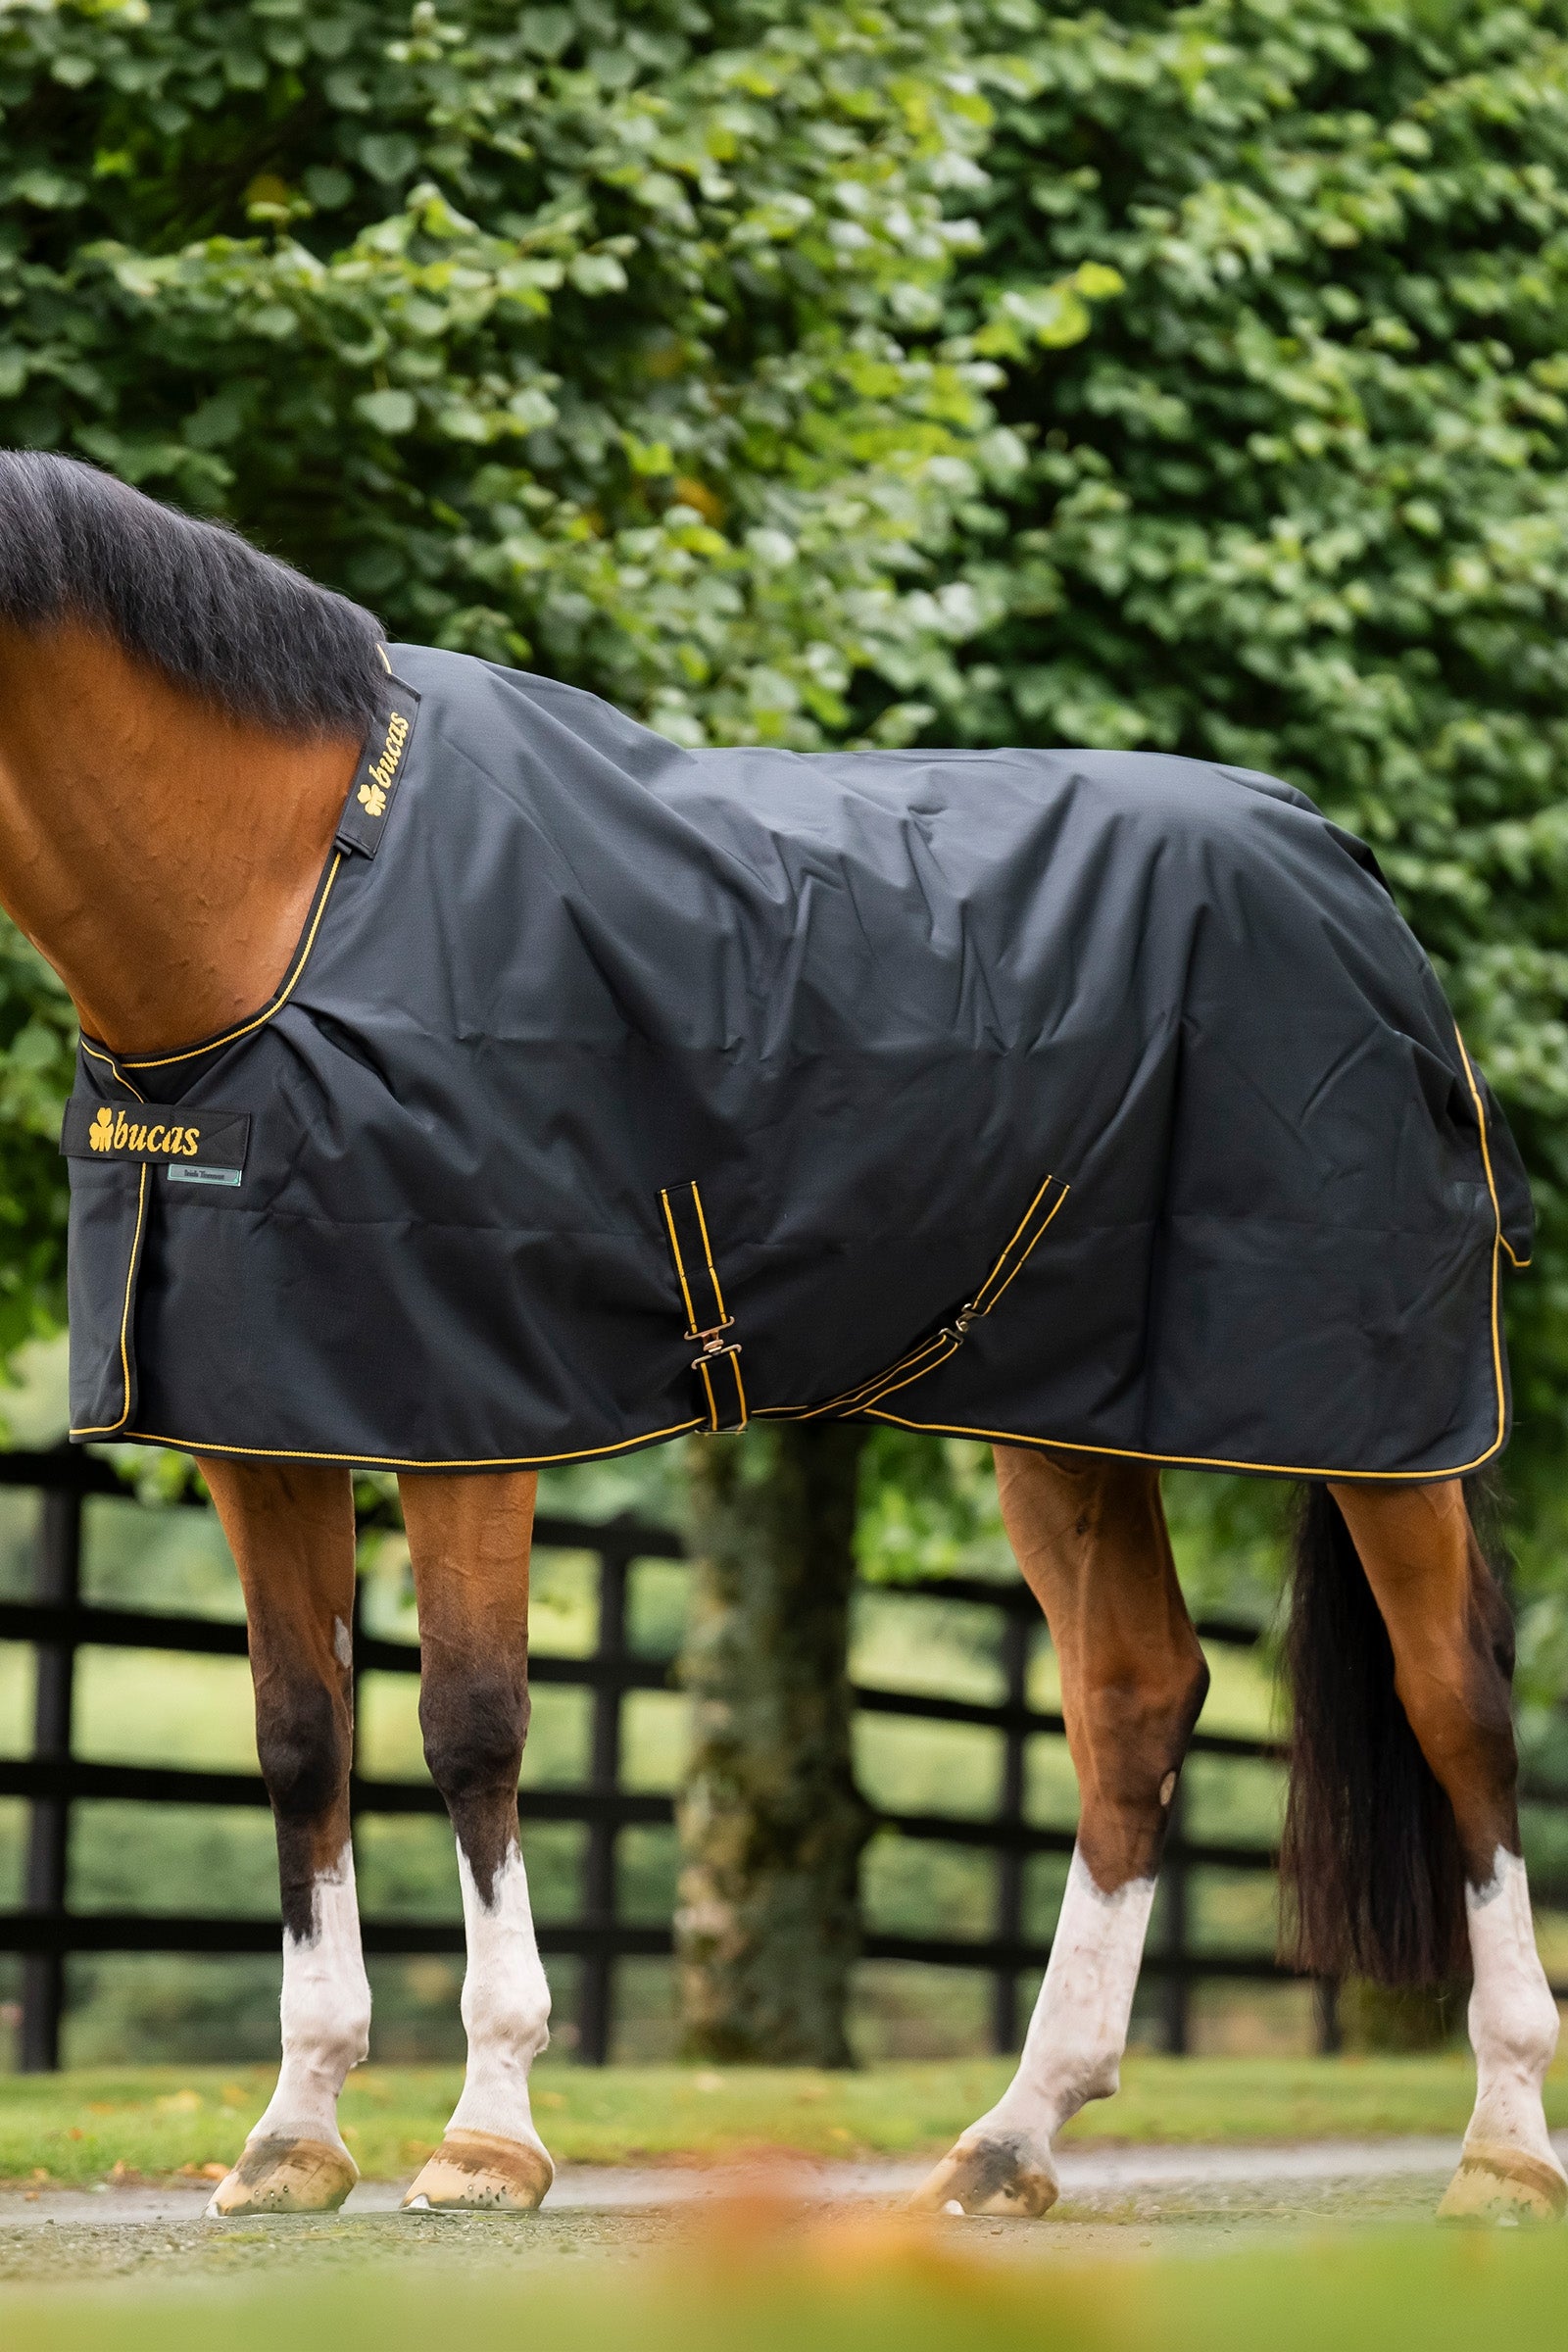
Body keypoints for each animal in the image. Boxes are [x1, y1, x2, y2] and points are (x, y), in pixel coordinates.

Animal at [0, 450, 1558, 2228]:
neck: (301, 896)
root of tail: (1345, 868)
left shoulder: (481, 1417)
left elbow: (470, 1730)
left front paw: (488, 2133)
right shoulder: (264, 1427)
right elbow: (296, 1739)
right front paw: (293, 2134)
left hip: (1377, 1413)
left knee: (1456, 1703)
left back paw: (1507, 2145)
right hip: (1067, 1419)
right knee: (1135, 1697)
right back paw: (1014, 2136)